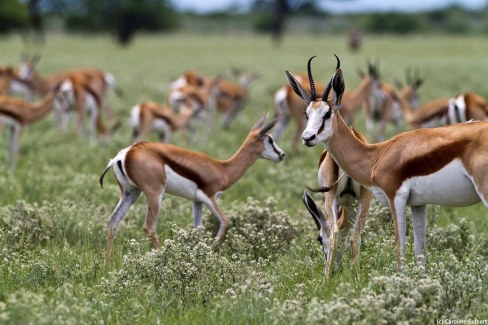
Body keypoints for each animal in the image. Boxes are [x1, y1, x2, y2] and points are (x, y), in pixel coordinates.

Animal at [100, 112, 286, 260]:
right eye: (269, 139)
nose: (282, 154)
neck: (223, 169)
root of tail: (125, 154)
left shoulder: (197, 202)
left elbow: (198, 229)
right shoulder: (210, 197)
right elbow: (226, 222)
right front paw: (211, 252)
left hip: (131, 192)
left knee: (112, 222)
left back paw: (109, 264)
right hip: (154, 194)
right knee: (149, 227)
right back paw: (164, 258)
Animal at [304, 126, 372, 276]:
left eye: (319, 239)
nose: (336, 270)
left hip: (331, 199)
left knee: (334, 236)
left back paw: (326, 278)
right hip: (365, 200)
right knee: (353, 238)